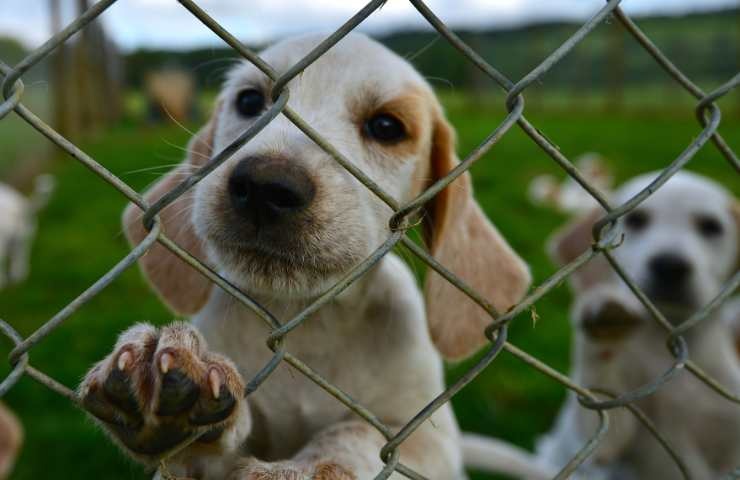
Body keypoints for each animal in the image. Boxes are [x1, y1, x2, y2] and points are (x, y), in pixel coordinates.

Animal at [78, 33, 536, 480]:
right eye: (249, 101)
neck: (312, 325)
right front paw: (168, 388)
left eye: (387, 126)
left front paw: (305, 467)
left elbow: (358, 433)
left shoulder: (428, 441)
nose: (264, 186)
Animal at [536, 171, 740, 480]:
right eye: (637, 220)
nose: (670, 265)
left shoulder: (728, 440)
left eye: (710, 227)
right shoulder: (611, 432)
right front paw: (604, 317)